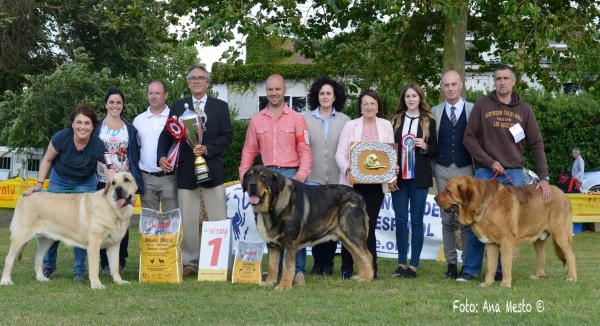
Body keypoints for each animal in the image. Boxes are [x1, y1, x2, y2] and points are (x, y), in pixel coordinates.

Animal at [0, 172, 137, 290]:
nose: (118, 189)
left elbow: (115, 266)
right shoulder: (94, 243)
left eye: (126, 180)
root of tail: (25, 196)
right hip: (20, 236)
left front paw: (119, 281)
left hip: (46, 240)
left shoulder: (114, 245)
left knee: (38, 258)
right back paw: (6, 280)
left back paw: (41, 278)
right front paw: (96, 285)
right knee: (9, 258)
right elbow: (94, 267)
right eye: (113, 183)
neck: (113, 210)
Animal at [241, 166, 372, 290]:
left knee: (367, 256)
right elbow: (272, 266)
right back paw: (360, 276)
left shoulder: (290, 243)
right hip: (347, 239)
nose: (252, 184)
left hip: (352, 235)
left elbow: (287, 267)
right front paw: (269, 283)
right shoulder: (272, 245)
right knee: (358, 257)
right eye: (249, 176)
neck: (273, 205)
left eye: (263, 177)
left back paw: (368, 279)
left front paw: (284, 286)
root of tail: (359, 197)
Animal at [436, 176, 576, 288]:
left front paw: (505, 283)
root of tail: (564, 194)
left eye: (448, 191)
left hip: (561, 235)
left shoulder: (506, 243)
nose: (436, 198)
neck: (486, 206)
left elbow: (505, 264)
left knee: (571, 256)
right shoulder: (491, 244)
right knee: (542, 257)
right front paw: (487, 283)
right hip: (538, 240)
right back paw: (537, 276)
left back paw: (572, 278)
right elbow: (490, 266)